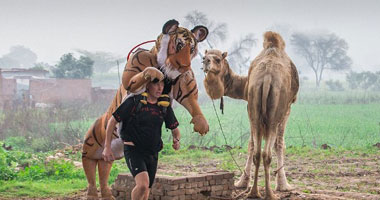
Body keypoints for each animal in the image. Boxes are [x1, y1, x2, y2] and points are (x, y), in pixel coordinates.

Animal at [203, 31, 298, 198]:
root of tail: (267, 78)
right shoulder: (287, 108)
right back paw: (269, 194)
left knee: (258, 152)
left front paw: (241, 182)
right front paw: (284, 186)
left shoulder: (250, 108)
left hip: (254, 105)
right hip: (275, 112)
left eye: (218, 59)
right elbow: (279, 144)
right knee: (266, 152)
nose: (205, 61)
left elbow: (251, 144)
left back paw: (254, 192)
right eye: (205, 56)